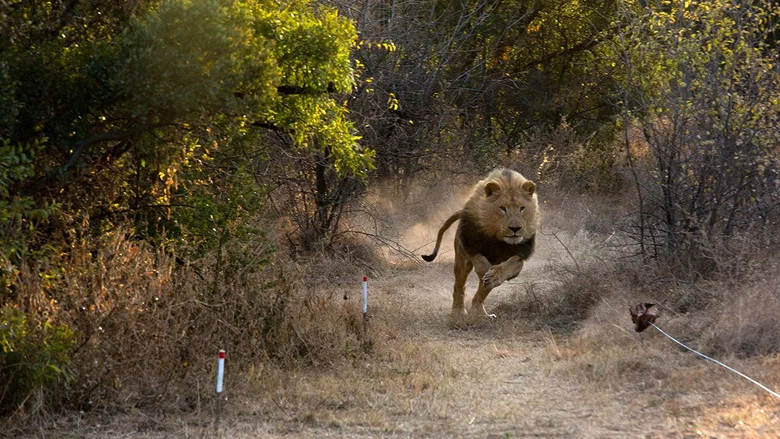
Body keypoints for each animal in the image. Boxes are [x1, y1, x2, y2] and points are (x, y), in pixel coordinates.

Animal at [422, 168, 539, 326]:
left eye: (522, 208)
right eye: (502, 208)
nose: (515, 228)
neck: (498, 238)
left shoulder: (519, 254)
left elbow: (510, 266)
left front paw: (493, 278)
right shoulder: (471, 246)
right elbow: (482, 266)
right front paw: (487, 276)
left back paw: (480, 314)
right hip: (462, 259)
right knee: (459, 286)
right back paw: (458, 314)